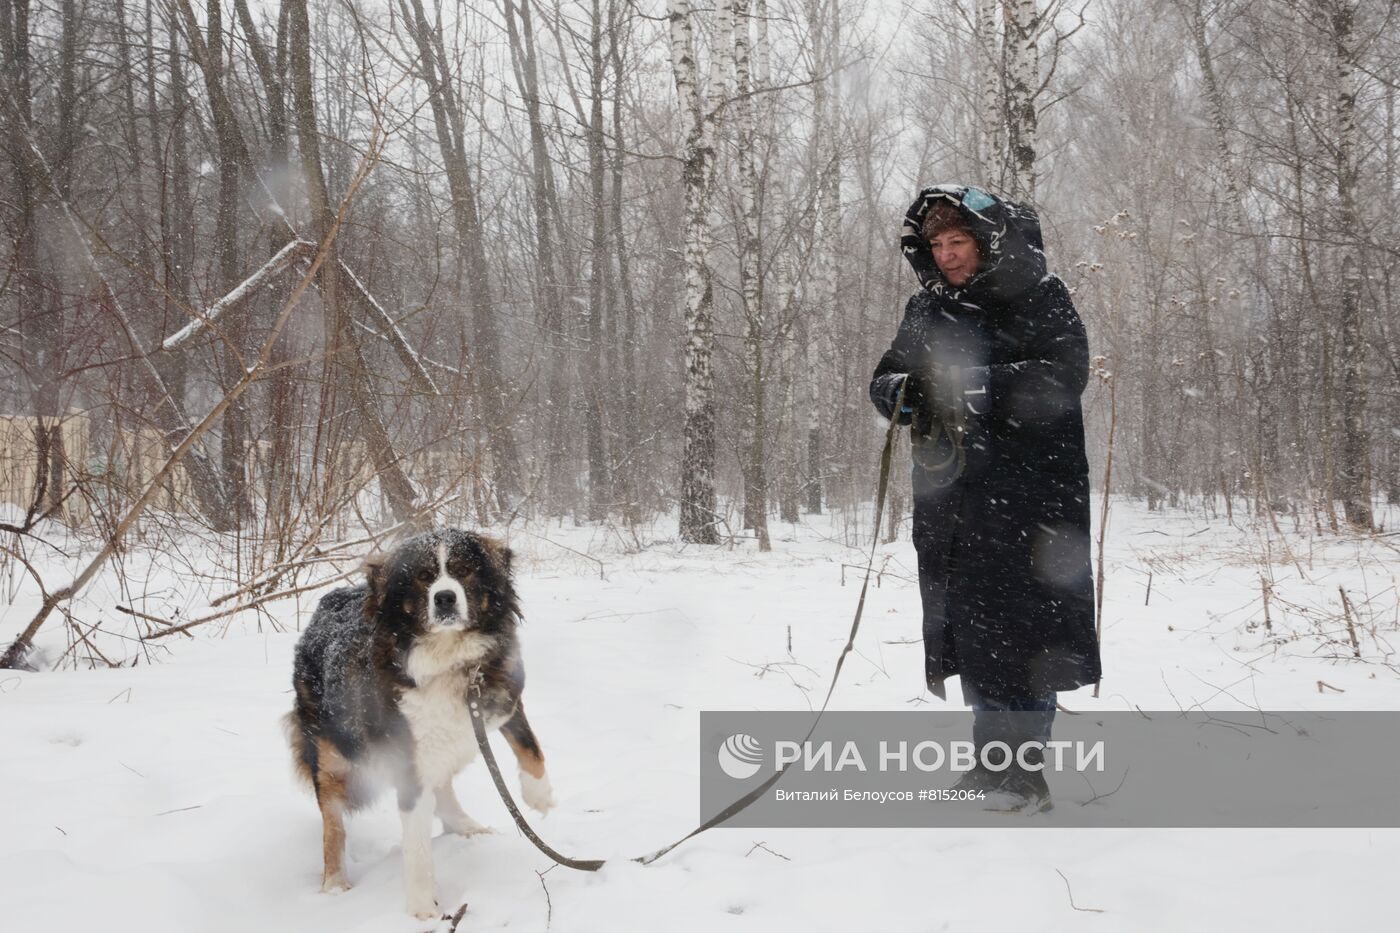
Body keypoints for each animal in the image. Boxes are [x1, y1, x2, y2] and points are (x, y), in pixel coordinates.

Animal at [284, 526, 551, 913]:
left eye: (463, 570)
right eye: (423, 577)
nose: (445, 599)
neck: (448, 656)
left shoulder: (500, 692)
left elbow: (530, 745)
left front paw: (539, 796)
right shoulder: (405, 756)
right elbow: (417, 843)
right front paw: (424, 908)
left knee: (443, 781)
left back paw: (466, 826)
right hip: (333, 755)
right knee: (333, 822)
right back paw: (334, 882)